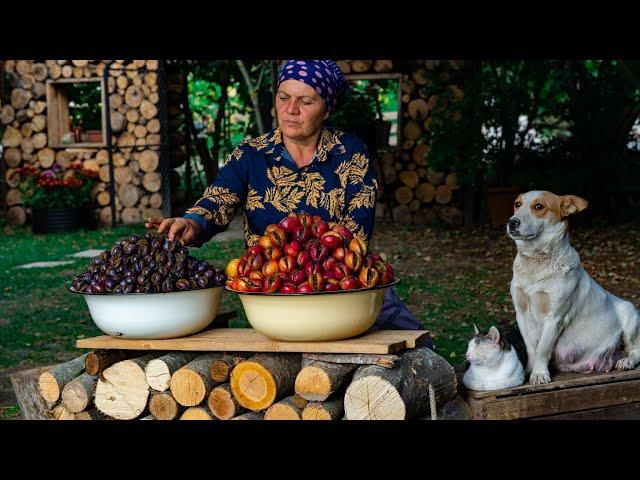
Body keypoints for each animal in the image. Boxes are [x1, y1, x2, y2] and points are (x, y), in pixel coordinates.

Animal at [508, 189, 636, 384]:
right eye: (517, 204)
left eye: (538, 206)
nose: (512, 222)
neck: (536, 263)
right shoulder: (521, 312)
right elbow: (531, 347)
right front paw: (529, 370)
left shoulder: (554, 317)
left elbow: (542, 348)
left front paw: (539, 373)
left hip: (631, 317)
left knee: (635, 351)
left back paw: (627, 361)